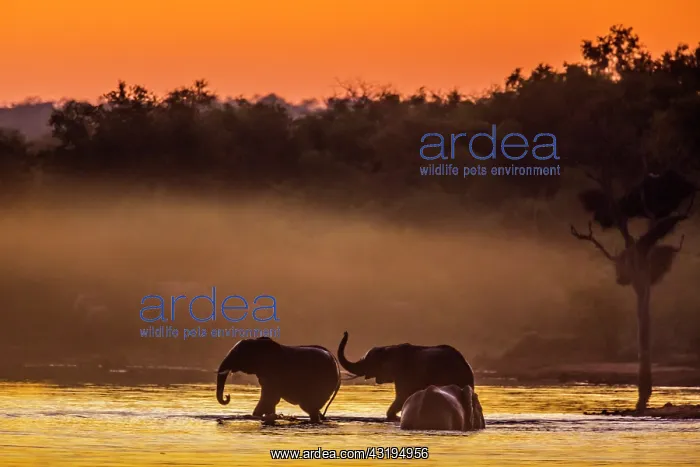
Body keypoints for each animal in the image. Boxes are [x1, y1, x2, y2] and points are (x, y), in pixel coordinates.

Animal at [337, 331, 475, 421]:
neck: (390, 348)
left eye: (368, 361)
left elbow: (402, 396)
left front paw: (395, 417)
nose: (345, 332)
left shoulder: (405, 374)